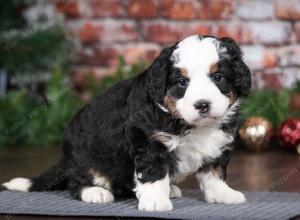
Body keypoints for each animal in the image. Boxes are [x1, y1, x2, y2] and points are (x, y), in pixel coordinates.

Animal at [2, 35, 251, 212]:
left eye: (218, 77)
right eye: (182, 82)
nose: (202, 105)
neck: (186, 122)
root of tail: (66, 157)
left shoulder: (217, 144)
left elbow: (213, 172)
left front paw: (223, 194)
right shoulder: (149, 142)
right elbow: (153, 173)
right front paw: (155, 201)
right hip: (86, 160)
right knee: (76, 183)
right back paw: (95, 192)